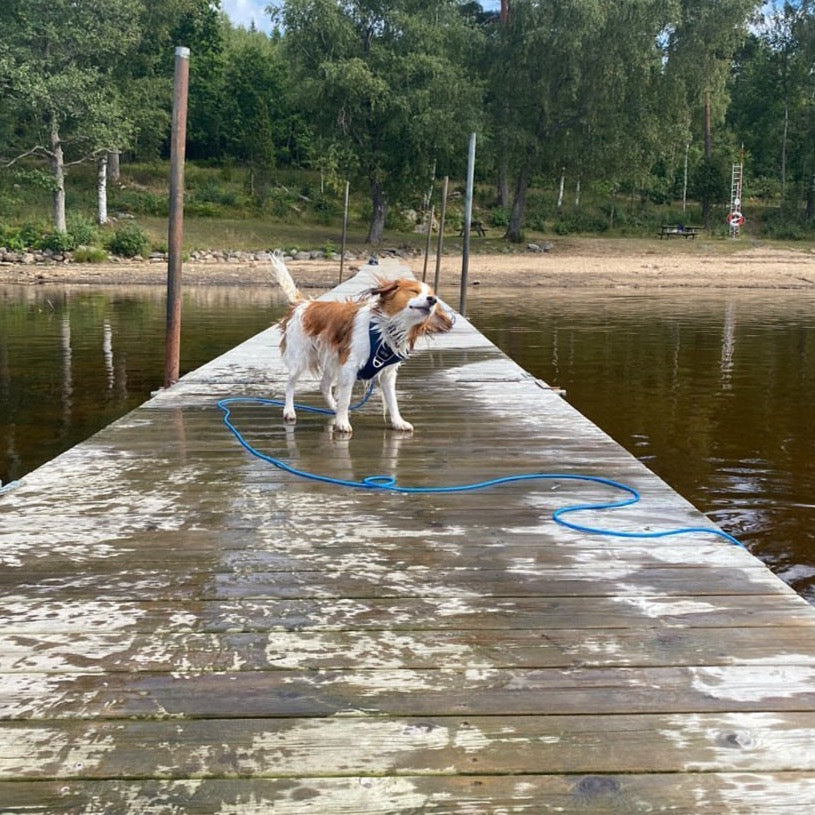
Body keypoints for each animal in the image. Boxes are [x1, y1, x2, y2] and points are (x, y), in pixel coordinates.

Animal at [272, 255, 452, 436]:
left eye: (432, 295)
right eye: (414, 291)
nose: (433, 300)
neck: (387, 329)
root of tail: (304, 304)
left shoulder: (387, 374)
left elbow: (392, 401)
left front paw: (398, 422)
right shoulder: (349, 367)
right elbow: (346, 398)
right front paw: (342, 422)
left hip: (332, 359)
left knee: (323, 386)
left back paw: (334, 408)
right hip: (300, 359)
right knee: (290, 384)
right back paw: (289, 411)